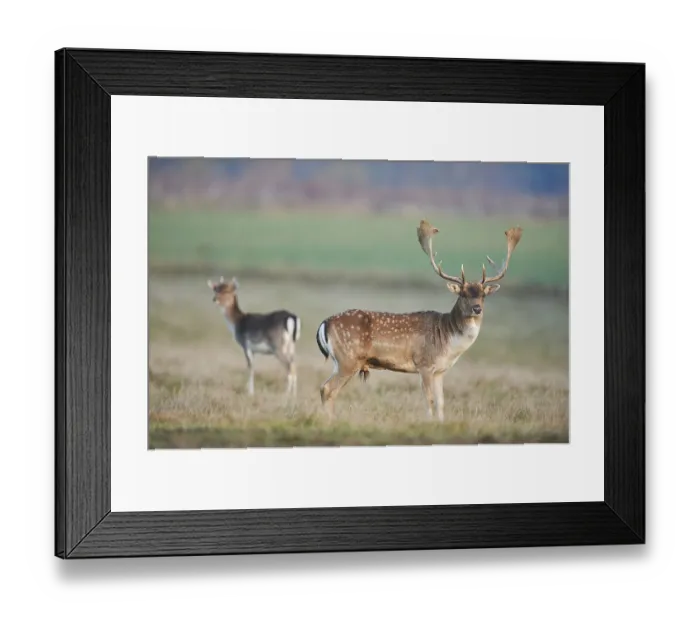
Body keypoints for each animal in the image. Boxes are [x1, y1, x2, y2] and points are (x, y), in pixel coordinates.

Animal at [315, 220, 522, 421]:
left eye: (482, 296)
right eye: (462, 294)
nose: (477, 308)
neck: (447, 341)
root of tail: (325, 323)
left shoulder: (440, 371)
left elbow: (441, 402)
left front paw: (440, 423)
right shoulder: (425, 364)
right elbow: (429, 399)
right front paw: (428, 422)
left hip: (340, 361)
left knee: (326, 389)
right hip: (348, 359)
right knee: (327, 389)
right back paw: (331, 421)